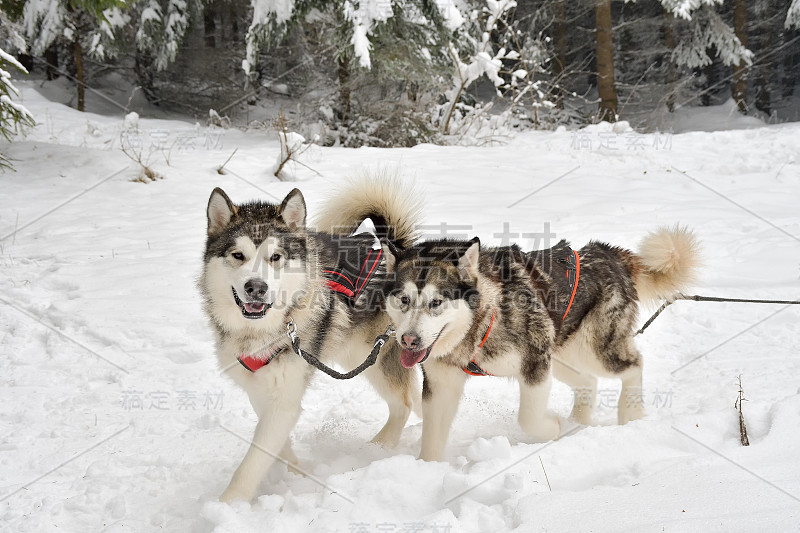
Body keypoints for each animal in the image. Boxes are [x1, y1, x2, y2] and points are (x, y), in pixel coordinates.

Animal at [199, 179, 422, 498]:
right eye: (237, 255)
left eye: (275, 257)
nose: (256, 287)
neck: (261, 332)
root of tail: (398, 253)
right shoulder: (262, 390)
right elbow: (275, 443)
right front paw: (296, 473)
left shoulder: (284, 396)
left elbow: (250, 465)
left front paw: (228, 504)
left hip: (373, 357)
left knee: (403, 403)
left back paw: (378, 449)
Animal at [378, 227, 696, 460]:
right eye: (404, 299)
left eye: (436, 302)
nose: (409, 340)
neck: (483, 322)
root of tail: (608, 252)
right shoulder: (442, 384)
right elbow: (432, 438)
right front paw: (428, 470)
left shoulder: (535, 365)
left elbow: (528, 418)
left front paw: (552, 427)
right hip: (563, 357)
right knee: (588, 381)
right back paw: (578, 422)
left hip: (594, 351)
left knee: (634, 365)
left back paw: (630, 414)